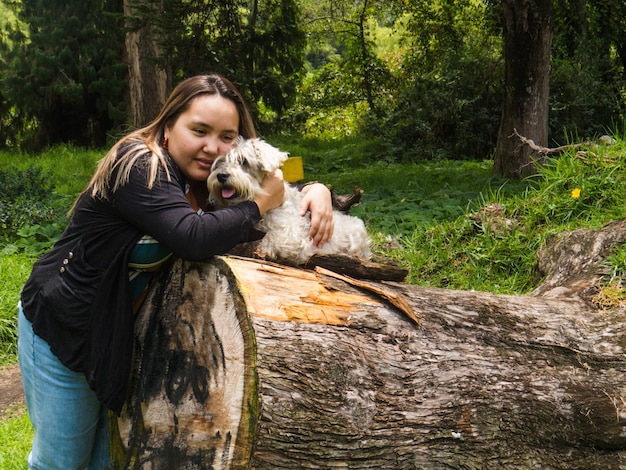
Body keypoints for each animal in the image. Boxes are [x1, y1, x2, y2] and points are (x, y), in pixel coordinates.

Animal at [205, 137, 370, 264]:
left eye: (244, 161)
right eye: (219, 162)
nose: (221, 176)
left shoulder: (294, 238)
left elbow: (271, 237)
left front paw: (261, 248)